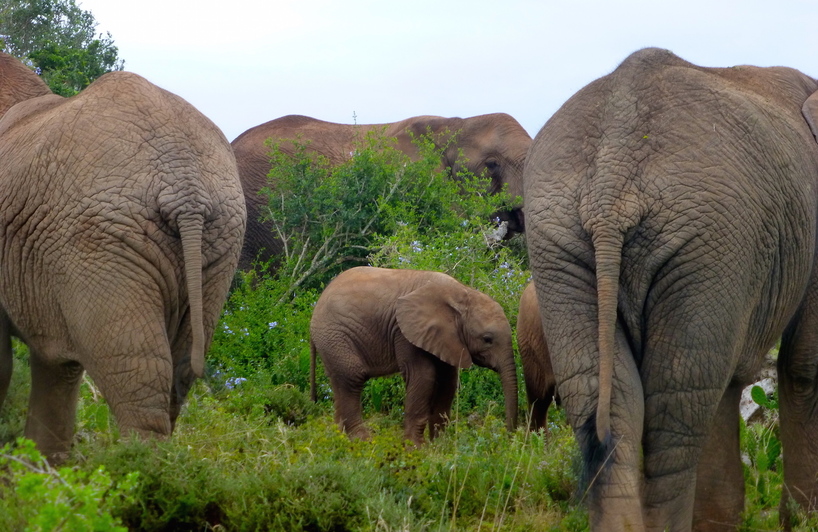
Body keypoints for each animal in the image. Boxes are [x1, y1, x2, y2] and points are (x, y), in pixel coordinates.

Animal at [0, 54, 245, 462]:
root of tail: (185, 187)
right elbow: (58, 366)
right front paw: (42, 469)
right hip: (219, 242)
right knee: (178, 374)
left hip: (101, 241)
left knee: (135, 370)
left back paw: (136, 473)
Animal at [306, 266, 516, 444]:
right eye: (487, 339)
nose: (508, 436)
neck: (461, 292)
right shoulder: (405, 332)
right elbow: (423, 376)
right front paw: (415, 449)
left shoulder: (445, 337)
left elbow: (447, 381)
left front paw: (440, 447)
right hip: (335, 335)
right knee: (352, 377)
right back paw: (365, 443)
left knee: (339, 383)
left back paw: (338, 440)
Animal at [524, 47, 816, 528]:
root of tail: (611, 184)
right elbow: (804, 364)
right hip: (707, 239)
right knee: (677, 407)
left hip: (560, 243)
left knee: (608, 401)